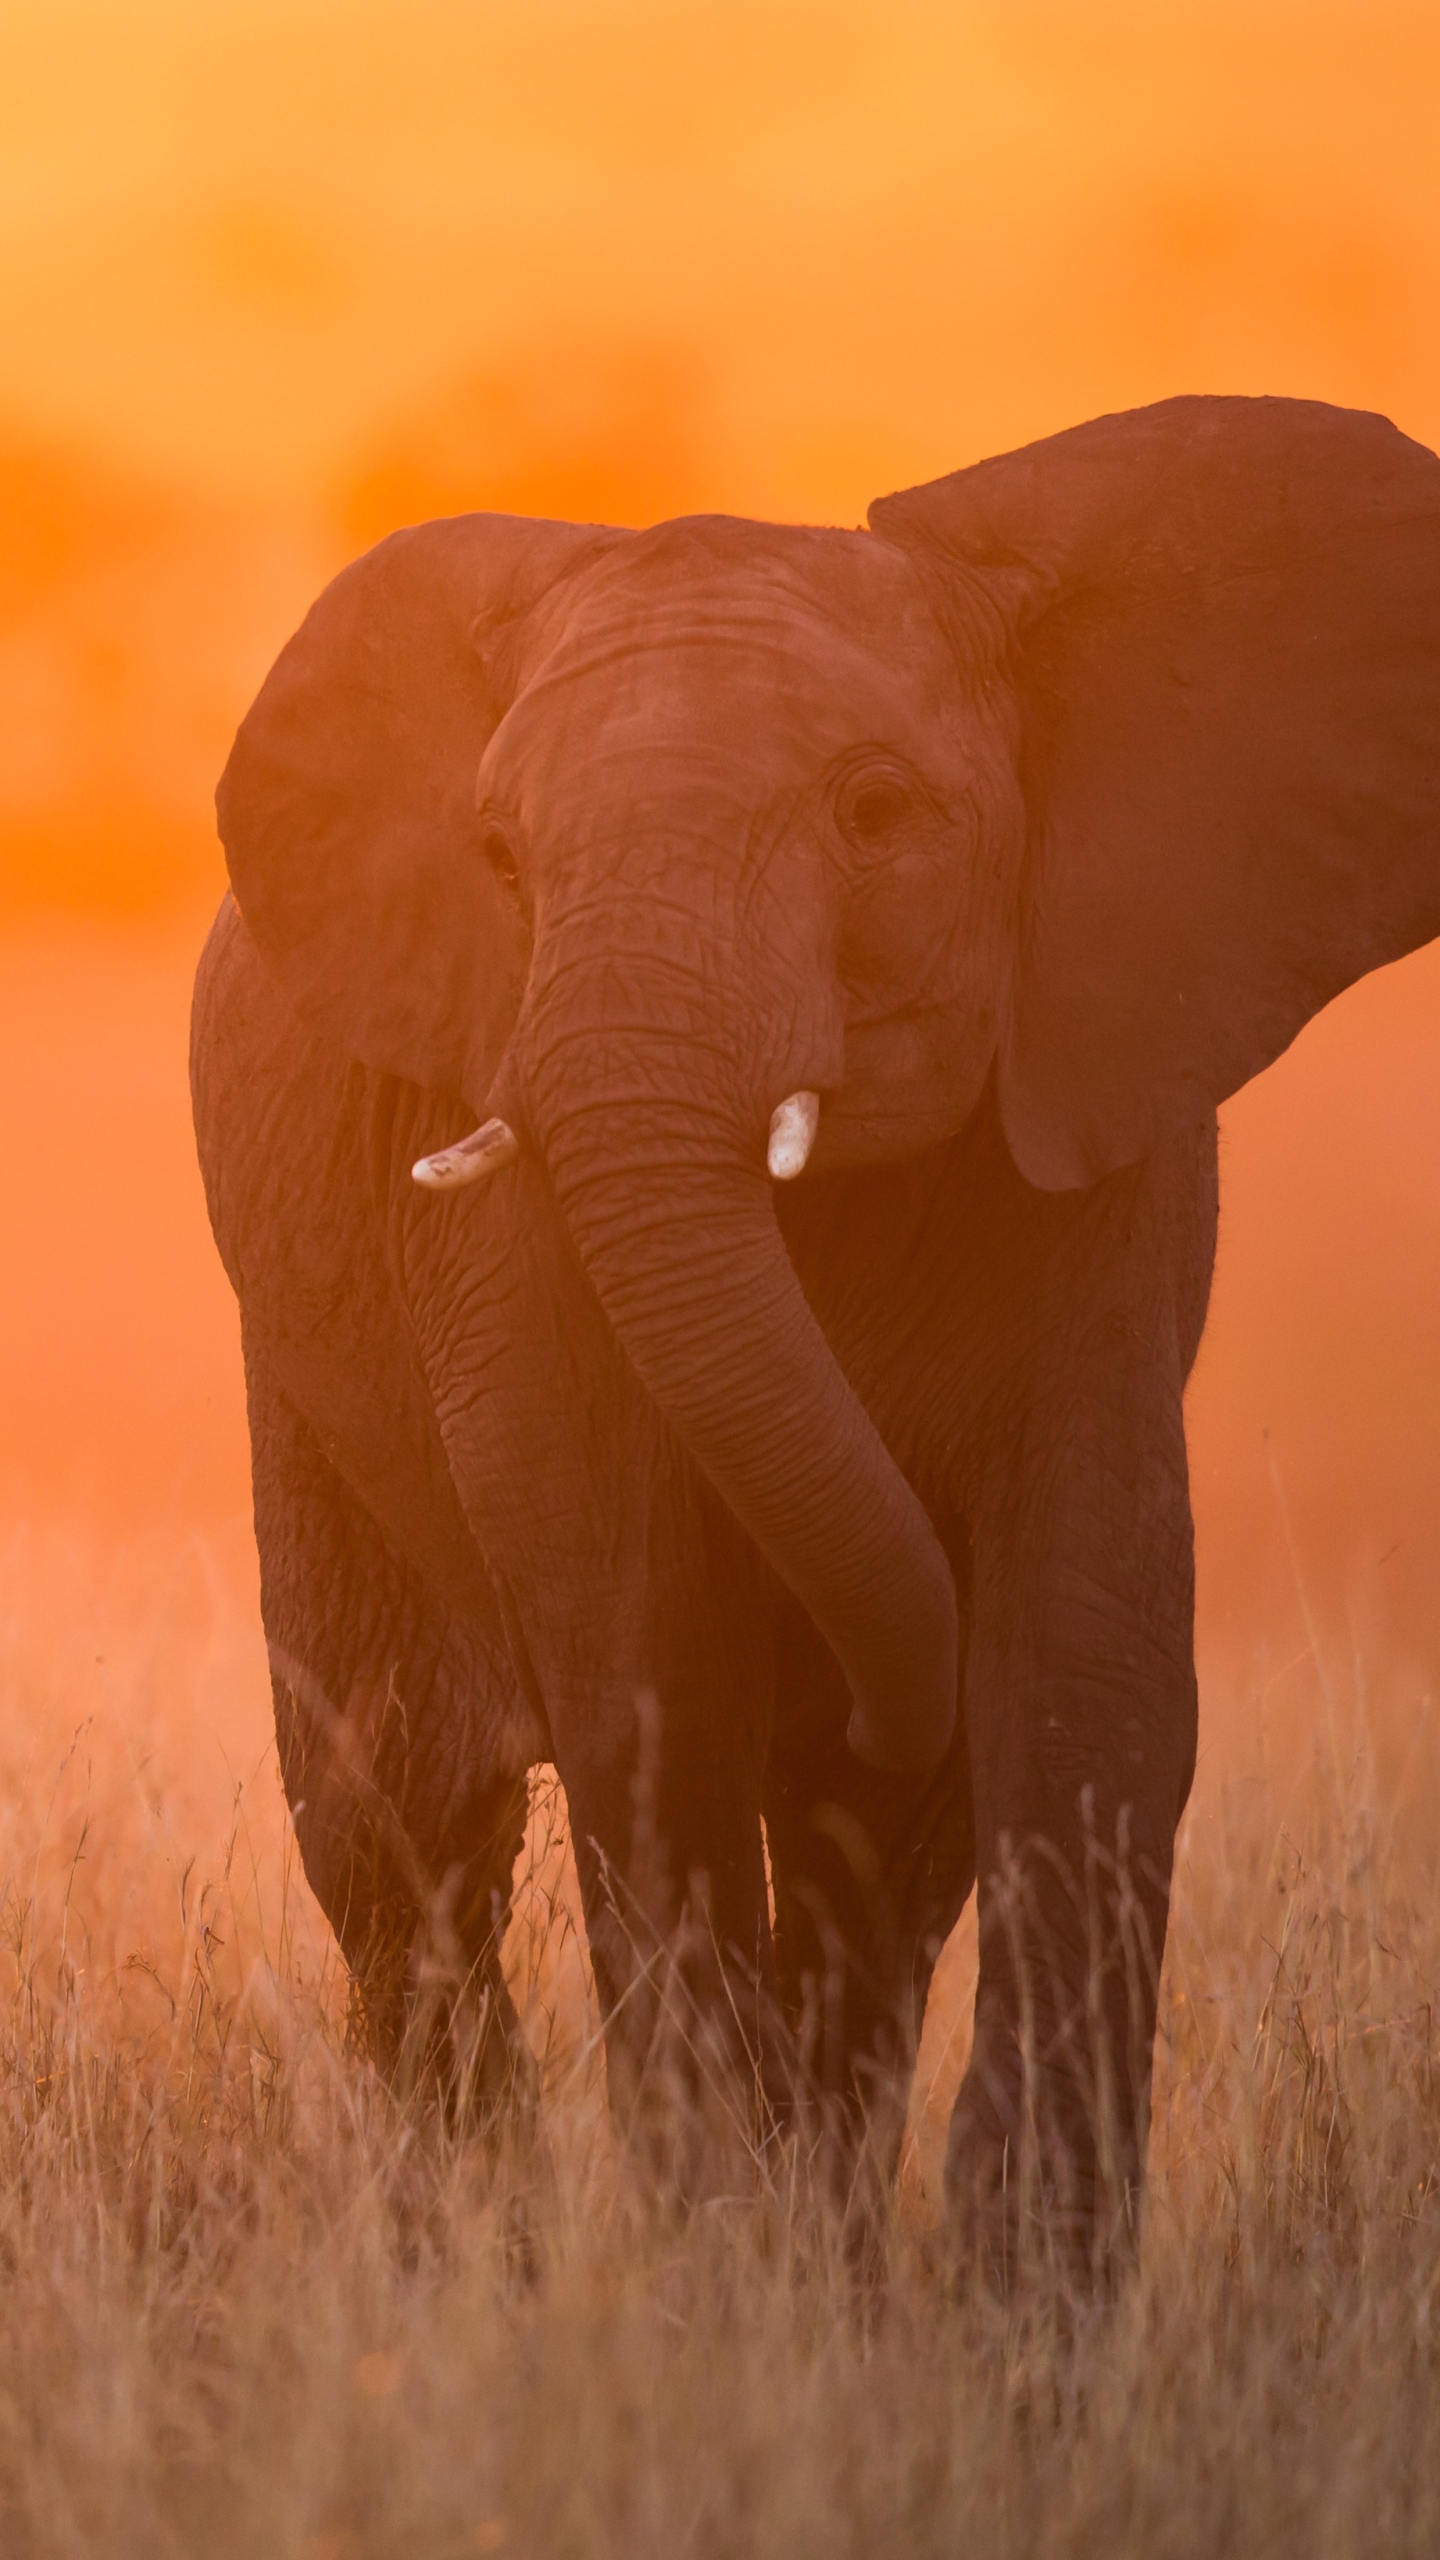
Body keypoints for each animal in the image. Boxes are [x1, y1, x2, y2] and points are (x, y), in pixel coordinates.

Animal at [190, 399, 1434, 2283]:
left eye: (875, 812)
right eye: (501, 864)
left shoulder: (1097, 1157)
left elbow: (1085, 1656)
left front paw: (1015, 2316)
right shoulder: (513, 1185)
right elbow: (644, 1658)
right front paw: (720, 2277)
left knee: (874, 1864)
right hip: (299, 1373)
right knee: (400, 1821)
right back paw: (486, 2258)